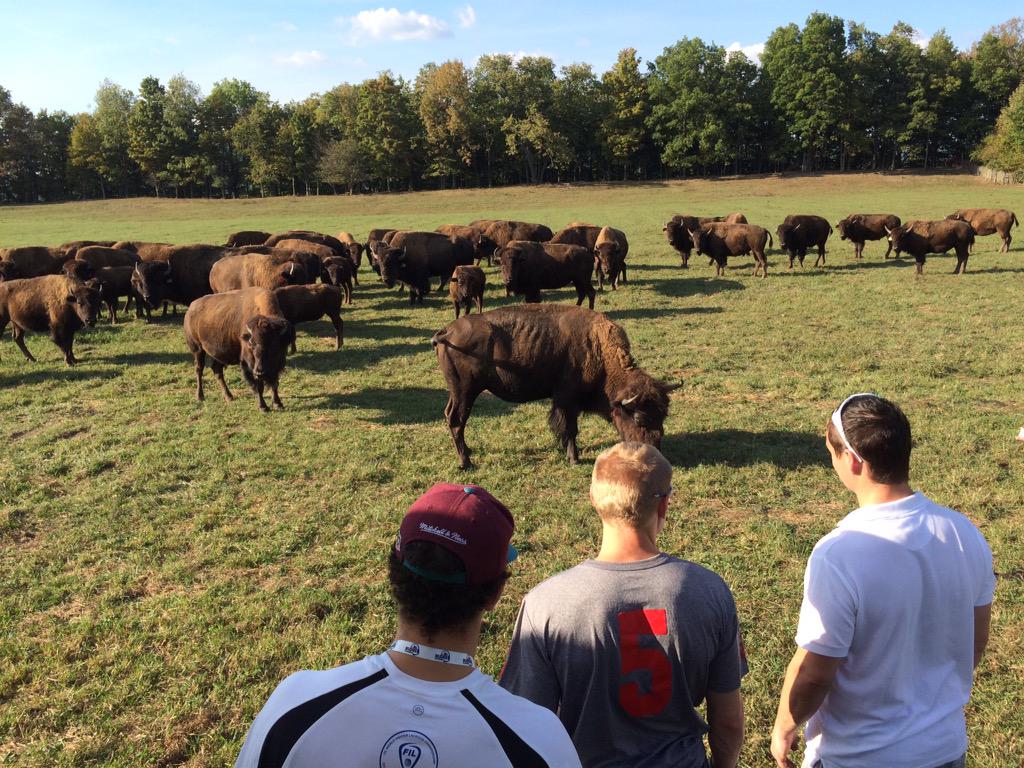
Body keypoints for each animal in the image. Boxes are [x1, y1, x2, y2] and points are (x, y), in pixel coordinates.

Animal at [432, 303, 676, 468]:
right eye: (640, 419)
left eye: (663, 416)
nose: (655, 452)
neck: (599, 350)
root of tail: (446, 332)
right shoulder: (566, 400)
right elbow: (570, 429)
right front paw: (574, 459)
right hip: (465, 391)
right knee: (457, 420)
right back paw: (466, 462)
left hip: (458, 392)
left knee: (450, 416)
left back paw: (468, 453)